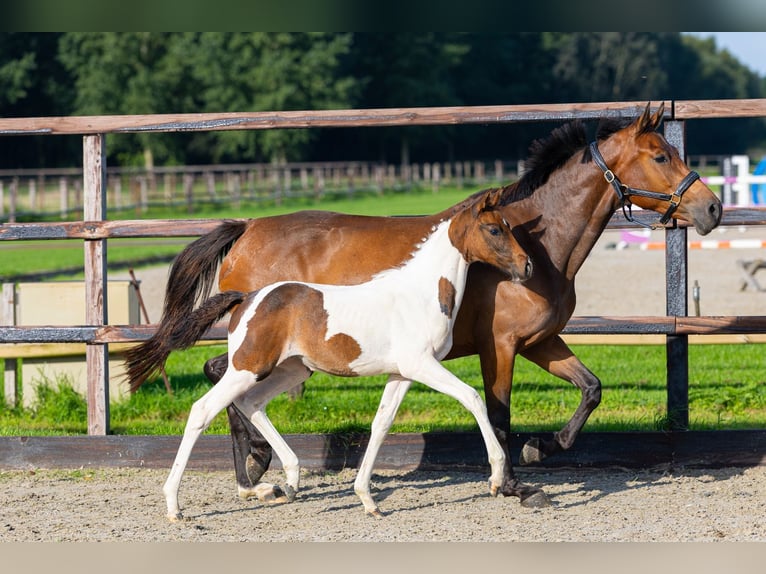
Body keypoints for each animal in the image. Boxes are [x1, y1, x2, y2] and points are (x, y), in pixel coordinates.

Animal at [154, 188, 532, 520]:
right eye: (494, 229)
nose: (526, 266)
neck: (421, 293)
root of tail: (247, 298)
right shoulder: (421, 365)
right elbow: (473, 398)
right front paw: (496, 478)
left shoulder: (401, 373)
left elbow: (381, 423)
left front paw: (368, 500)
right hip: (247, 367)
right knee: (203, 410)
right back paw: (175, 506)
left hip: (291, 370)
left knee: (252, 403)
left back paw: (289, 480)